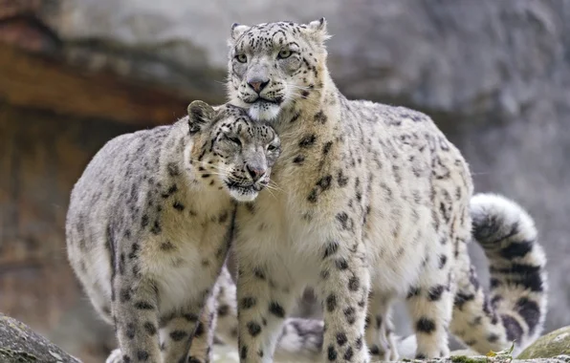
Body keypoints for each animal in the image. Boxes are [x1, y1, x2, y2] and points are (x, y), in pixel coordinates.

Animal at [223, 18, 544, 362]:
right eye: (241, 57)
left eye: (285, 53)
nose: (256, 82)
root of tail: (450, 147)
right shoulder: (263, 258)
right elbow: (254, 329)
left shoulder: (341, 251)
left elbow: (343, 324)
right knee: (380, 336)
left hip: (435, 263)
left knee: (432, 324)